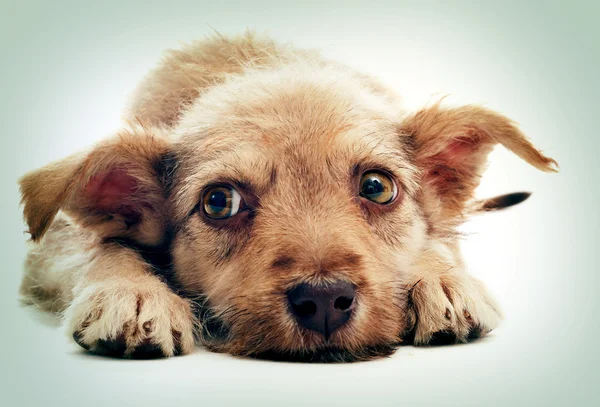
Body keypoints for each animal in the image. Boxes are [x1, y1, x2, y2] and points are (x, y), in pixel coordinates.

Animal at [19, 31, 556, 364]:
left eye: (377, 187)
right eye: (219, 202)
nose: (323, 301)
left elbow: (438, 236)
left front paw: (442, 281)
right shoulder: (51, 248)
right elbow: (102, 243)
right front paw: (130, 293)